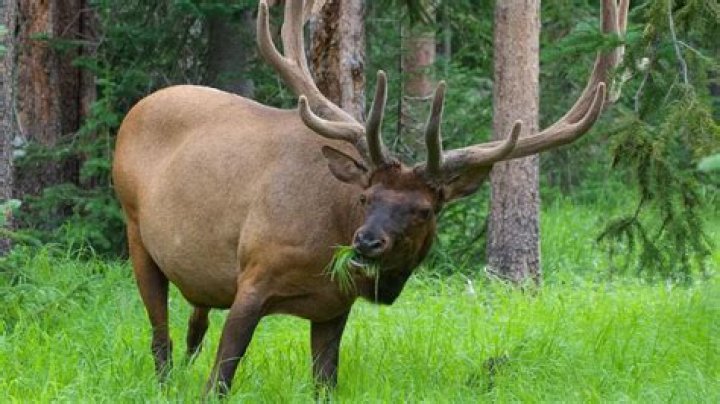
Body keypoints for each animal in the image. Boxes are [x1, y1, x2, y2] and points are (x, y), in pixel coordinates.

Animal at [112, 0, 629, 397]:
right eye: (366, 197)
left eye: (424, 209)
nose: (366, 242)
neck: (325, 244)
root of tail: (136, 109)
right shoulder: (253, 276)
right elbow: (219, 380)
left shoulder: (333, 309)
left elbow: (325, 384)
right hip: (136, 232)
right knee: (161, 340)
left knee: (193, 327)